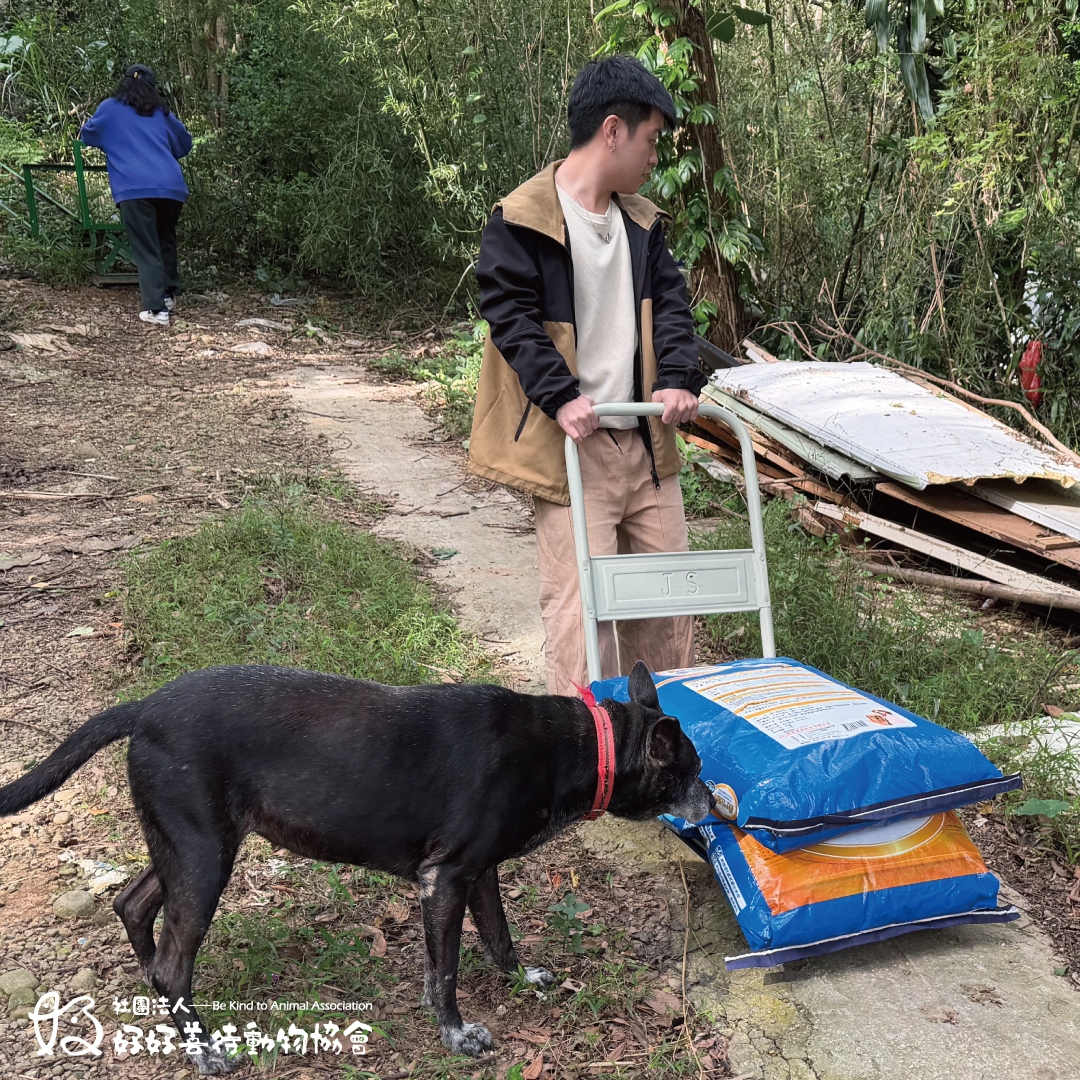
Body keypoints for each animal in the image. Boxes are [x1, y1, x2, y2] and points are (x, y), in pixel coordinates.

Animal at [0, 661, 712, 1073]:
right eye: (689, 771)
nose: (716, 804)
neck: (581, 745)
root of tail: (144, 708)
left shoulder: (478, 874)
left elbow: (500, 938)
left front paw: (524, 979)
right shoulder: (443, 881)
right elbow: (445, 974)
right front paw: (458, 1036)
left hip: (184, 849)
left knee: (133, 906)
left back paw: (160, 1002)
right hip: (203, 859)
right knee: (174, 960)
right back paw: (202, 1046)